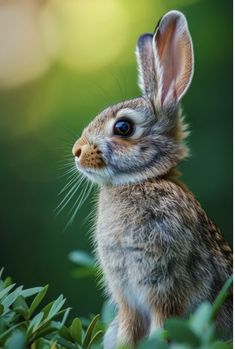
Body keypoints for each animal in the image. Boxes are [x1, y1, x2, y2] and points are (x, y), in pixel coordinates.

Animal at [71, 10, 233, 348]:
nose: (76, 151)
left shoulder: (163, 290)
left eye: (123, 128)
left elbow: (161, 327)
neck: (143, 181)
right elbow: (128, 332)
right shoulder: (128, 302)